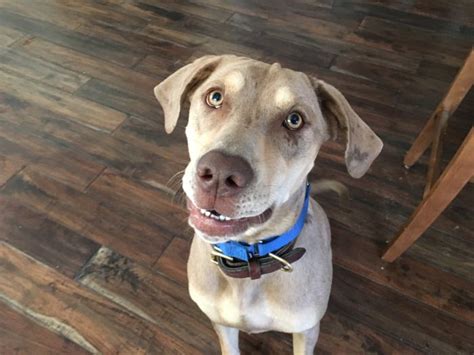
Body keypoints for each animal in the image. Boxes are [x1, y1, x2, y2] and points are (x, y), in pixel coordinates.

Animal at [154, 55, 384, 355]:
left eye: (294, 120)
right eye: (215, 97)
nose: (219, 173)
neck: (250, 258)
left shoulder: (306, 330)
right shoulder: (221, 324)